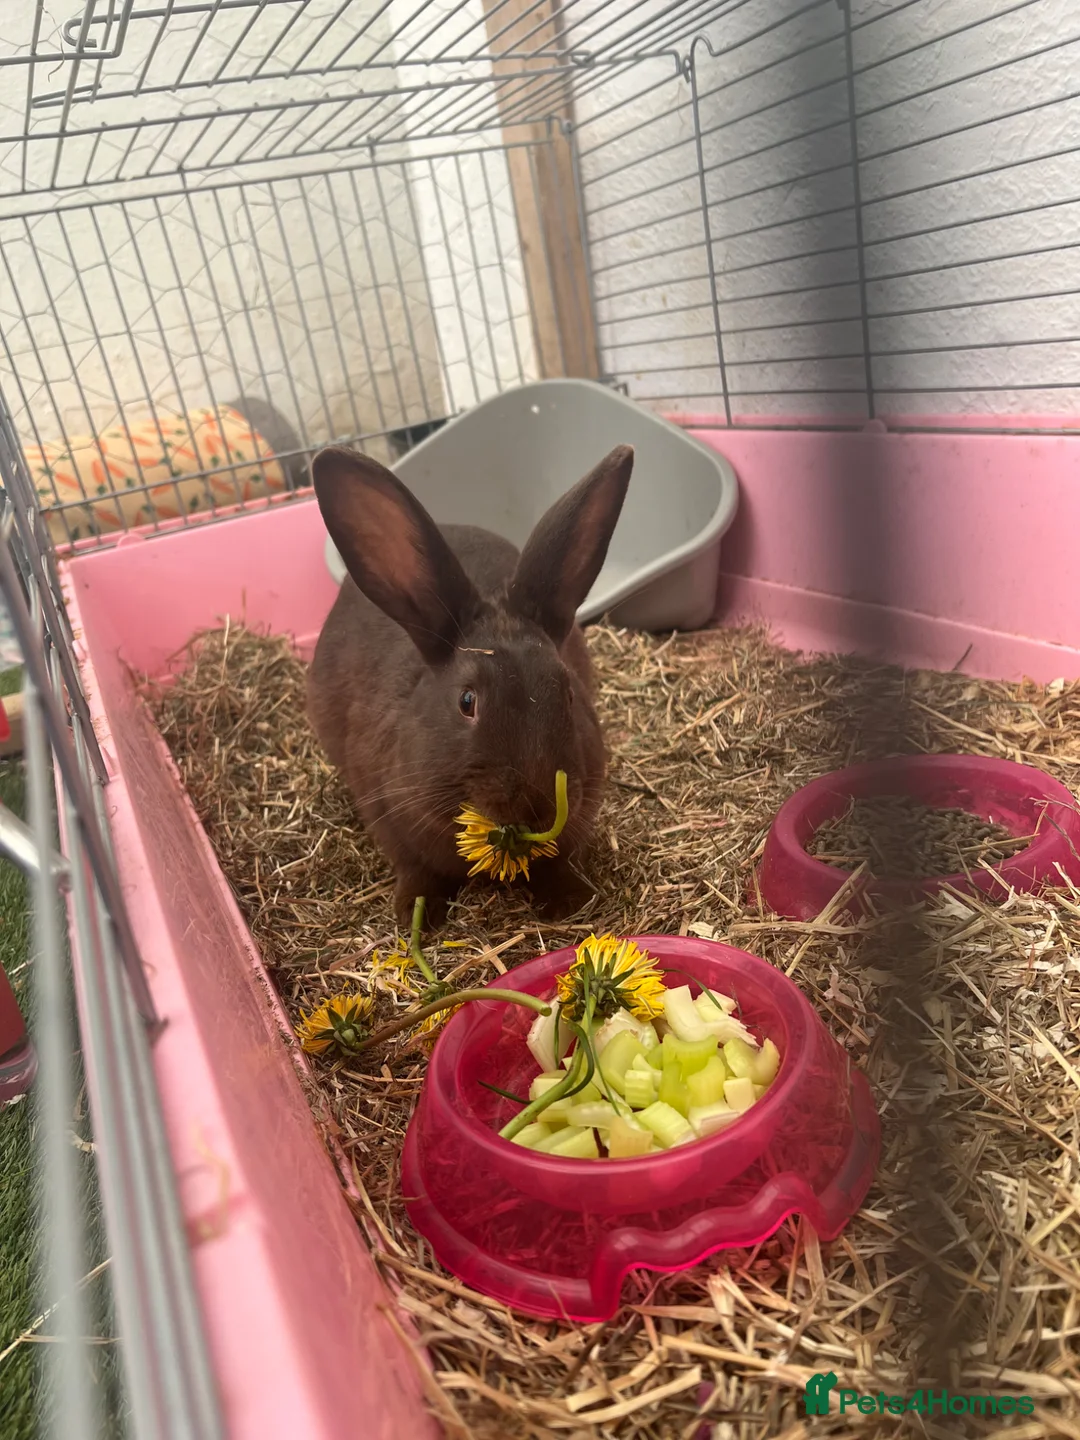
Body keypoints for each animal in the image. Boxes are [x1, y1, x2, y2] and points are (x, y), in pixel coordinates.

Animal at [307, 441, 635, 929]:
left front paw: (568, 901)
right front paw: (416, 916)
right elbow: (414, 868)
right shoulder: (386, 816)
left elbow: (560, 863)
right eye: (467, 701)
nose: (537, 808)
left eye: (569, 693)